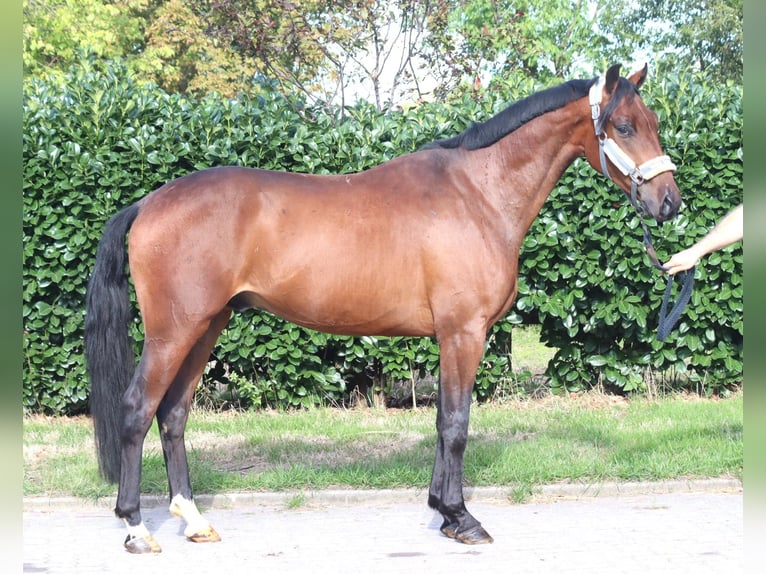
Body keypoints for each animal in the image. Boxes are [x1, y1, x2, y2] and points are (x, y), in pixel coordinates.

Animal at [85, 63, 681, 553]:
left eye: (652, 120)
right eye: (622, 126)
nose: (669, 202)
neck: (477, 194)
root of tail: (149, 203)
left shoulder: (450, 337)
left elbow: (442, 419)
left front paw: (443, 512)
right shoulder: (463, 333)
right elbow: (457, 423)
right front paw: (463, 519)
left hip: (207, 326)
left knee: (174, 414)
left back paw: (192, 520)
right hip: (174, 331)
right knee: (137, 410)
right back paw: (136, 528)